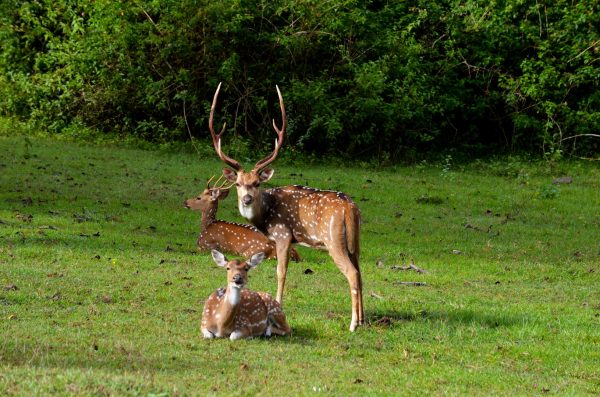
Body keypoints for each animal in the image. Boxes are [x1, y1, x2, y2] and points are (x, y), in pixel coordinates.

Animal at [206, 83, 366, 332]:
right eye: (238, 184)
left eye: (257, 183)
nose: (247, 199)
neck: (266, 216)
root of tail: (350, 208)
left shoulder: (282, 235)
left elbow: (281, 272)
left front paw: (278, 304)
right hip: (354, 241)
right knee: (360, 272)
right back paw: (363, 319)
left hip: (334, 240)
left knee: (352, 273)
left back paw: (353, 324)